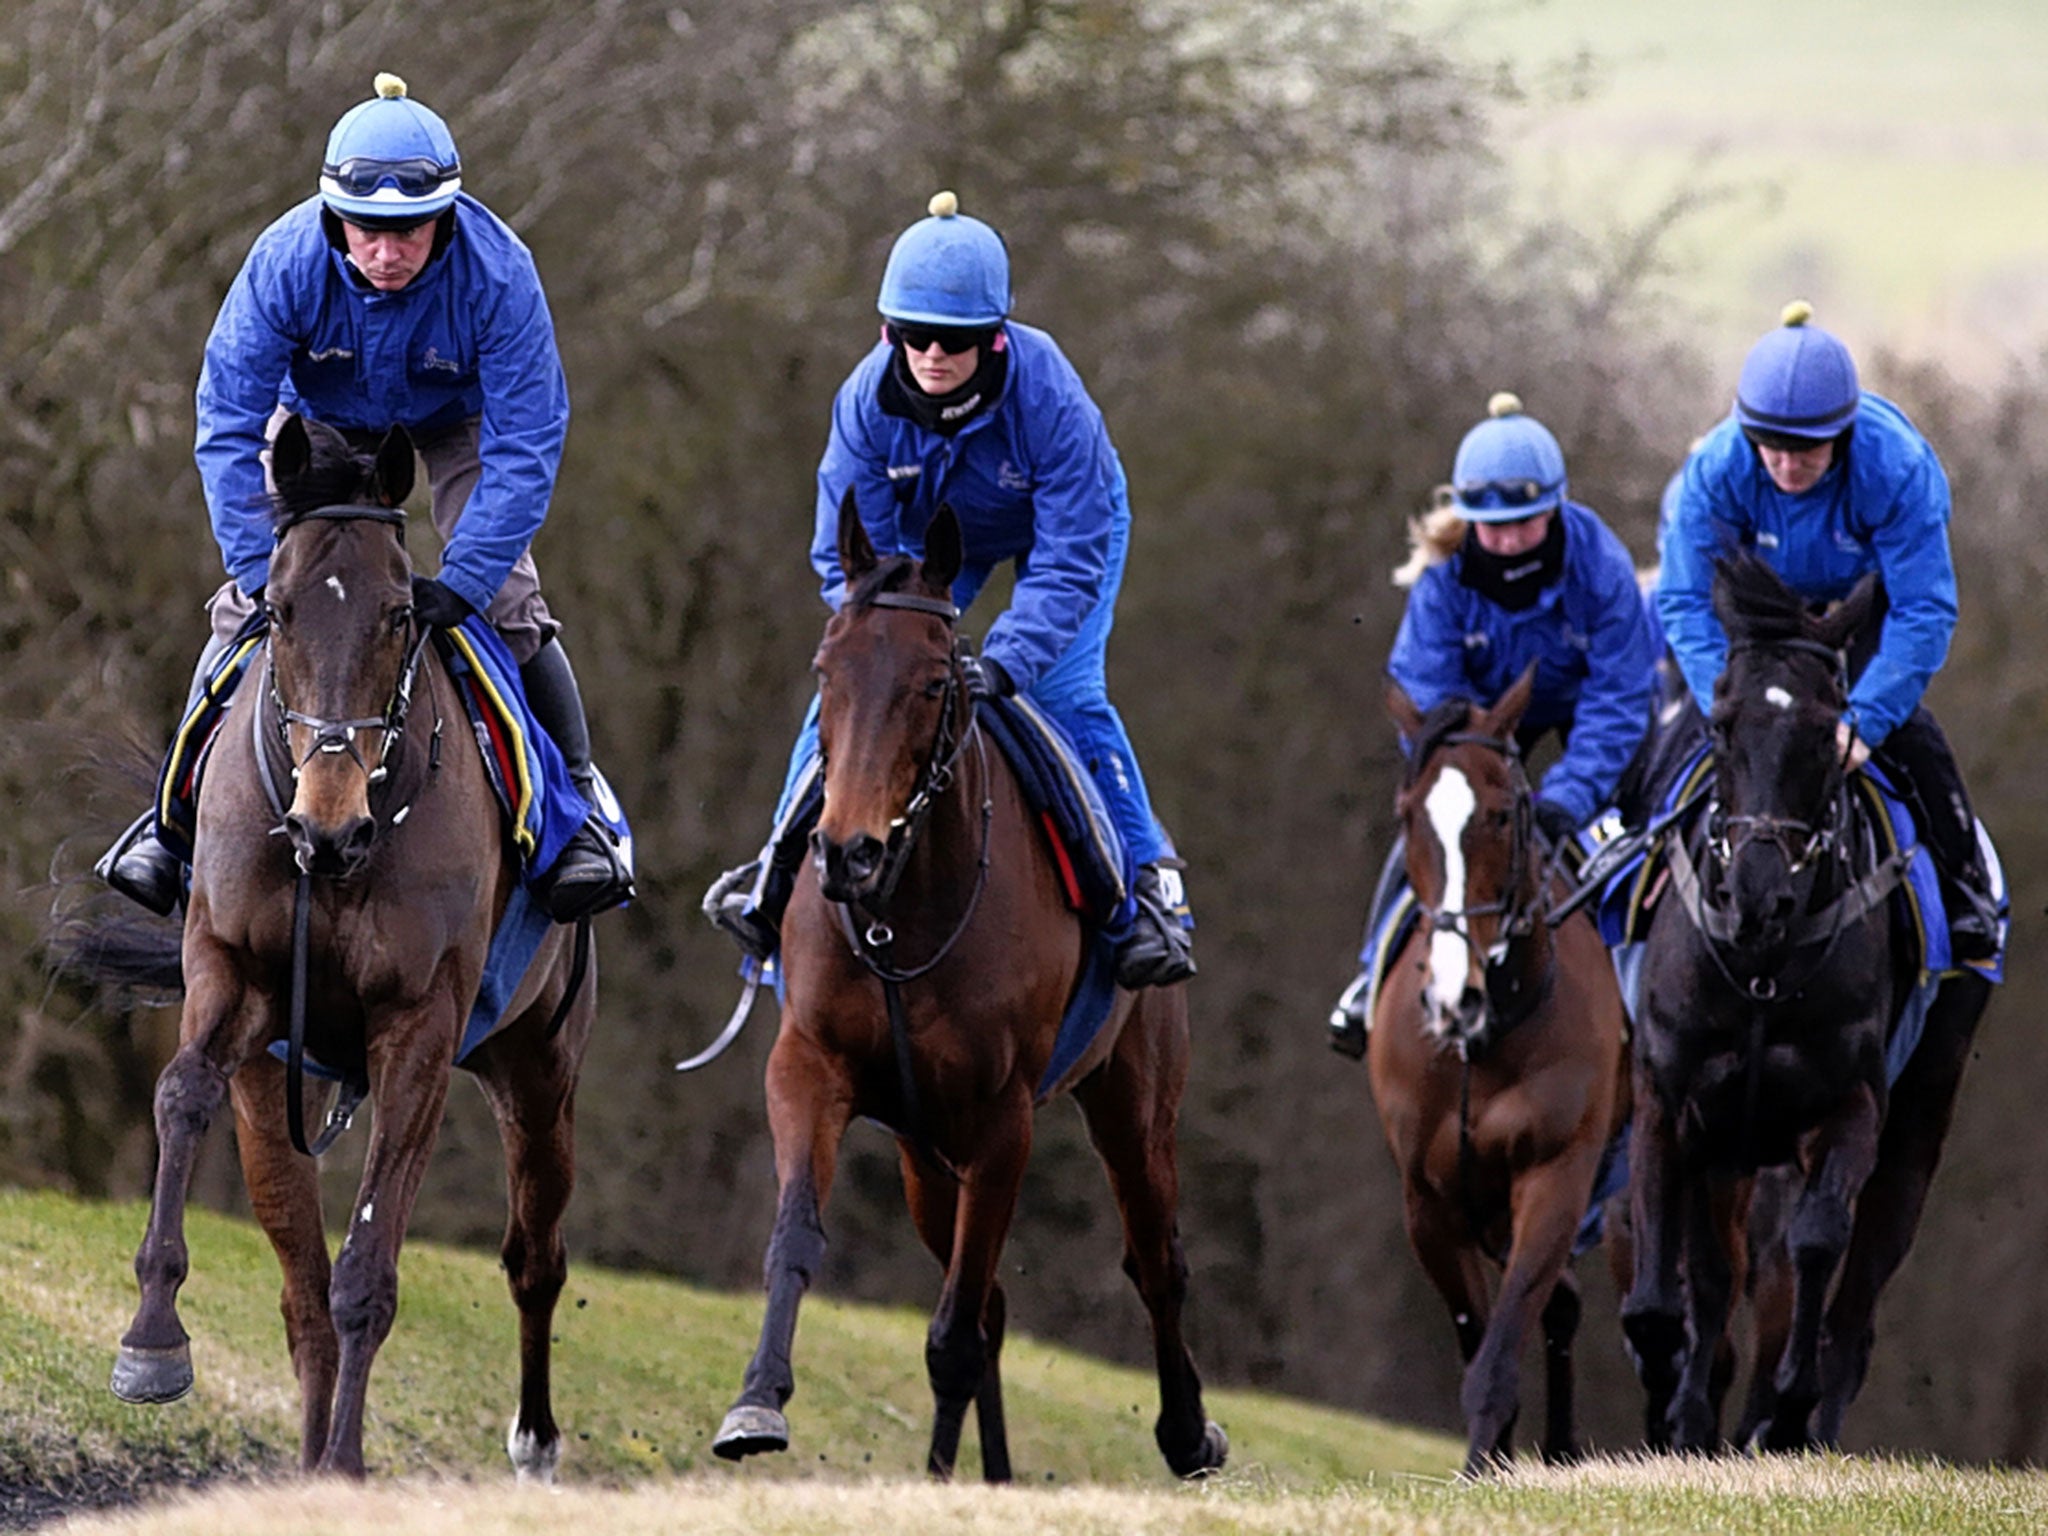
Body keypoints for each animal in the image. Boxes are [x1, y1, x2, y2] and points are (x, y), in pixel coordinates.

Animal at [66, 415, 593, 1482]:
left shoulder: (420, 1033)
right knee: (300, 1289)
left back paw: (531, 1443)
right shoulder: (235, 976)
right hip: (277, 1084)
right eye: (276, 608)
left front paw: (347, 1464)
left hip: (540, 1068)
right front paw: (151, 1341)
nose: (329, 826)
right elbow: (181, 1091)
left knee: (533, 1258)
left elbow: (370, 1269)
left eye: (397, 615)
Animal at [712, 499, 1220, 1482]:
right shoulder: (811, 1067)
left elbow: (952, 1332)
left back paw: (1188, 1434)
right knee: (990, 1305)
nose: (847, 852)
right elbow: (798, 1239)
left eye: (931, 682)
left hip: (1133, 1106)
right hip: (922, 1151)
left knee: (1155, 1262)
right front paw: (758, 1402)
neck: (901, 913)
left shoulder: (1001, 1121)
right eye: (826, 671)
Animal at [1368, 671, 1638, 1482]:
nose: (1450, 996)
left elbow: (1501, 1349)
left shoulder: (1555, 1175)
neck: (1484, 1039)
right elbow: (1478, 1334)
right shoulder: (1429, 1199)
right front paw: (1488, 1465)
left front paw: (1482, 1469)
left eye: (1497, 813)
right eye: (1409, 814)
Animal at [1613, 557, 1982, 1458]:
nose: (1758, 892)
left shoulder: (1850, 1103)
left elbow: (1817, 1242)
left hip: (1917, 1130)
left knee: (1854, 1306)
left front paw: (1784, 1407)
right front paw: (1673, 1403)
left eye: (1825, 732)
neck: (1761, 971)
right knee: (1718, 1279)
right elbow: (1662, 1296)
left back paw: (1803, 1426)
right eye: (1720, 725)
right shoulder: (1672, 1099)